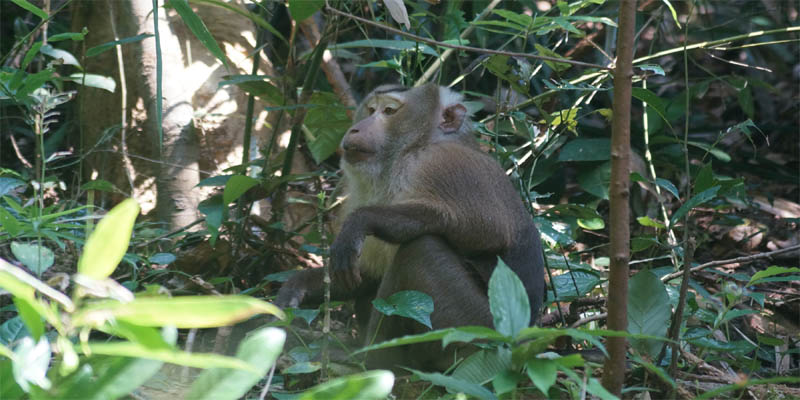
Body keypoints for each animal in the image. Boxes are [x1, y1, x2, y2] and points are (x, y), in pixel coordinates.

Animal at [274, 83, 544, 370]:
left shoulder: (444, 164)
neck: (411, 149)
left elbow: (491, 231)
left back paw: (369, 358)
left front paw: (363, 219)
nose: (356, 128)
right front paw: (297, 286)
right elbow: (364, 275)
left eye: (389, 111)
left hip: (476, 331)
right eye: (371, 109)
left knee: (421, 250)